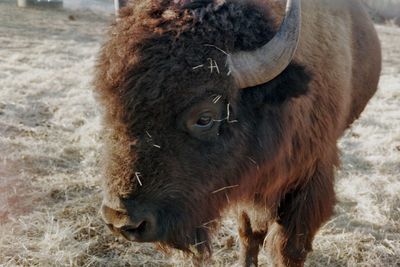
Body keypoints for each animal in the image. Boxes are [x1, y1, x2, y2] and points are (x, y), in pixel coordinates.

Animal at [94, 1, 382, 266]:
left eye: (204, 118)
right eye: (111, 105)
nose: (122, 220)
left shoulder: (309, 183)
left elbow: (288, 249)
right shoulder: (242, 186)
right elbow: (249, 234)